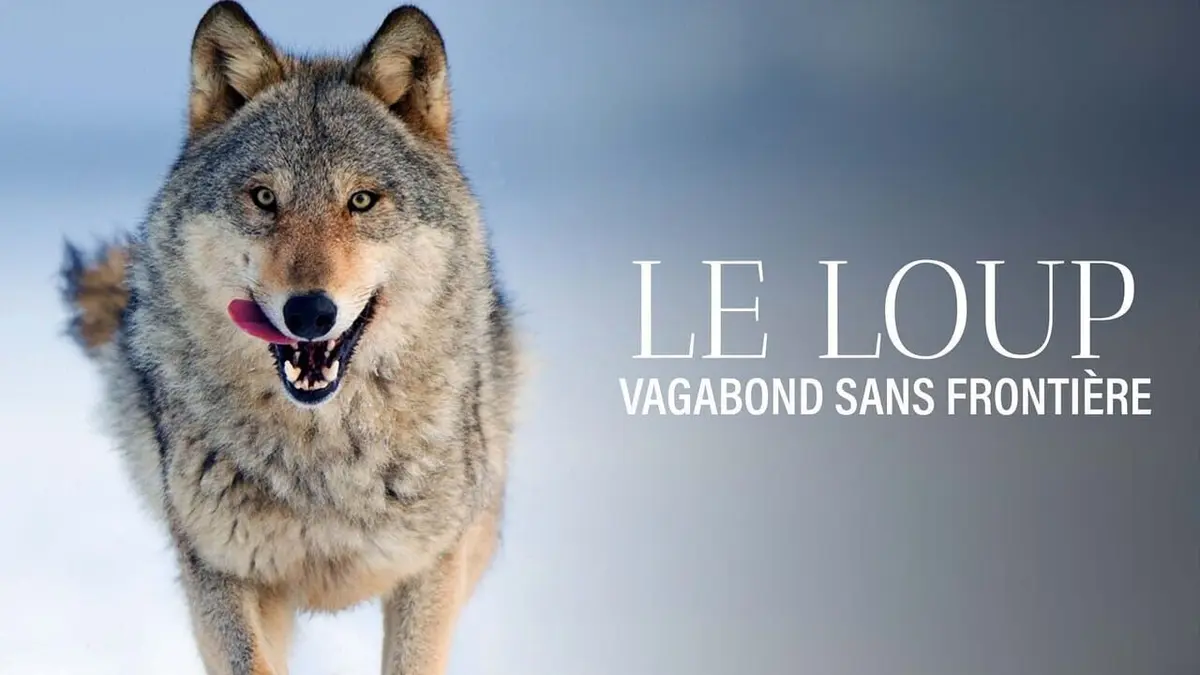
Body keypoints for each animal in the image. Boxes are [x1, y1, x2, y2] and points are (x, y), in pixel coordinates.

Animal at [58, 3, 521, 674]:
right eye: (264, 198)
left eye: (361, 200)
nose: (309, 313)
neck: (323, 458)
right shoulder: (219, 571)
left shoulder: (431, 566)